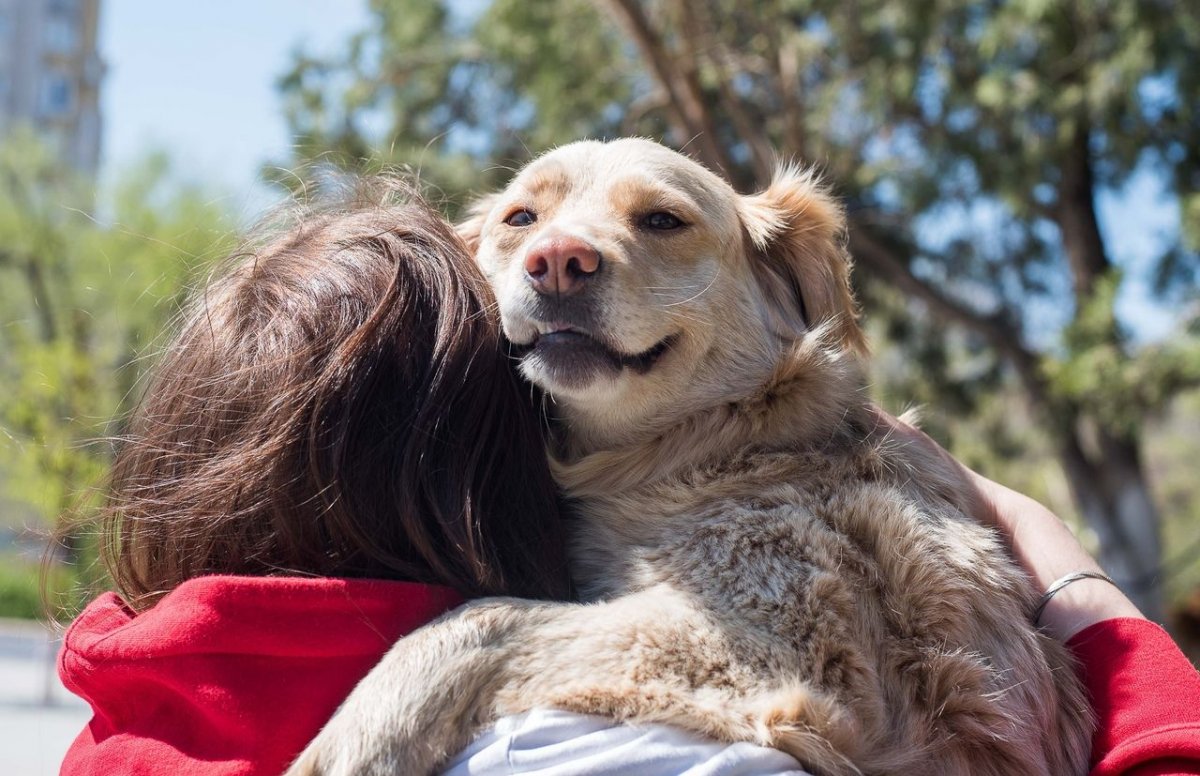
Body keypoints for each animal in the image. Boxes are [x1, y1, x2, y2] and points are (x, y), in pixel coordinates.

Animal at [285, 139, 1094, 776]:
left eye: (662, 220)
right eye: (521, 220)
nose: (557, 261)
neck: (699, 449)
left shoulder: (789, 647)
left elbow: (487, 616)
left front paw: (364, 731)